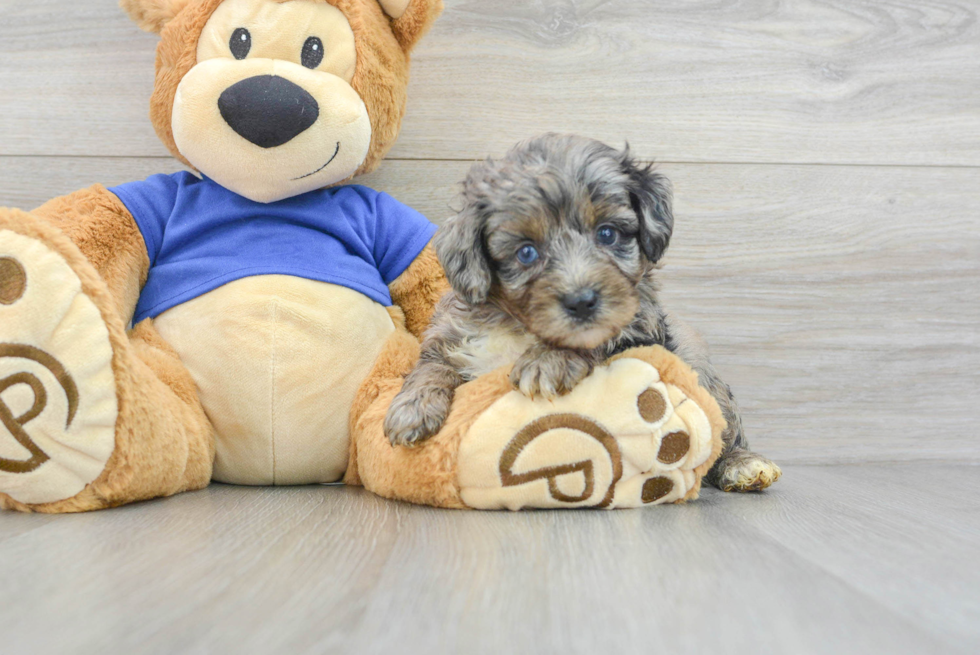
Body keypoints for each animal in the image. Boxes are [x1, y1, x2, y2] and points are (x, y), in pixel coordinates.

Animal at [382, 133, 780, 492]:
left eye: (607, 234)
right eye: (526, 252)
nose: (582, 302)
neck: (521, 327)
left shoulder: (639, 329)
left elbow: (600, 340)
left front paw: (549, 360)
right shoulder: (450, 336)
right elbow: (430, 367)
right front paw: (412, 409)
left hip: (704, 375)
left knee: (723, 433)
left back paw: (744, 465)